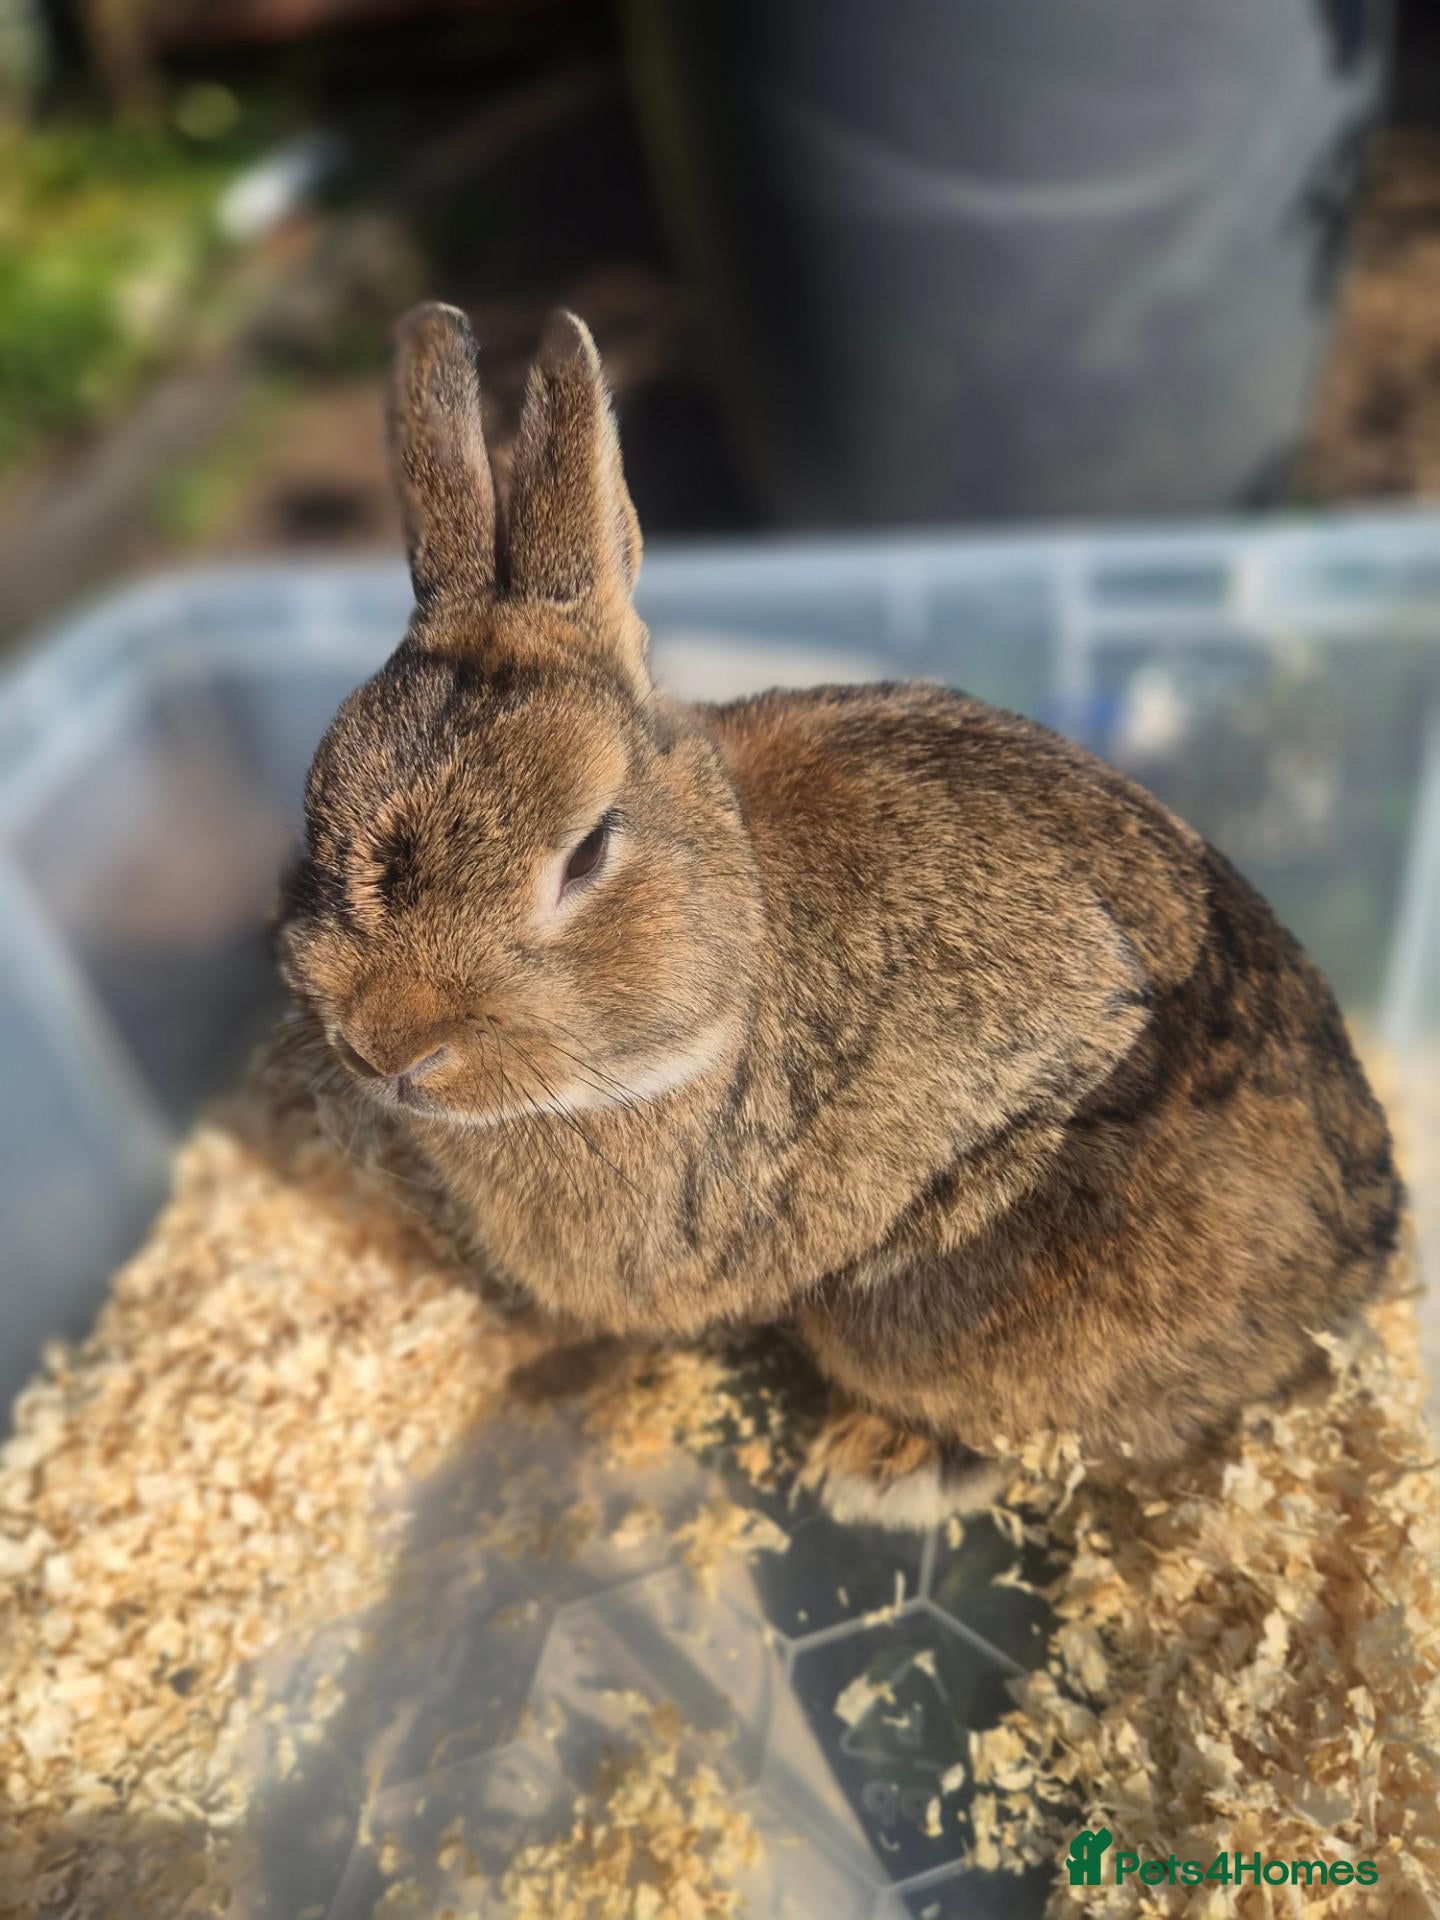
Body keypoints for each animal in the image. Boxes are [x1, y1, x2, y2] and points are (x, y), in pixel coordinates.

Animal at [272, 301, 1403, 1529]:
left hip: (949, 1301)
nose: (387, 1046)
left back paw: (879, 1469)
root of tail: (1362, 1263)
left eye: (587, 853)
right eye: (314, 813)